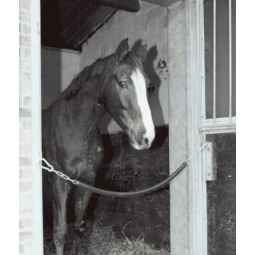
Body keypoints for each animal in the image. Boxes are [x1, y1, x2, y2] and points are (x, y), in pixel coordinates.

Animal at [42, 38, 155, 255]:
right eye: (122, 83)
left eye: (147, 86)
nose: (147, 137)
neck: (76, 126)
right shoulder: (58, 181)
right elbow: (60, 232)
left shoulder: (87, 181)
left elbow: (79, 227)